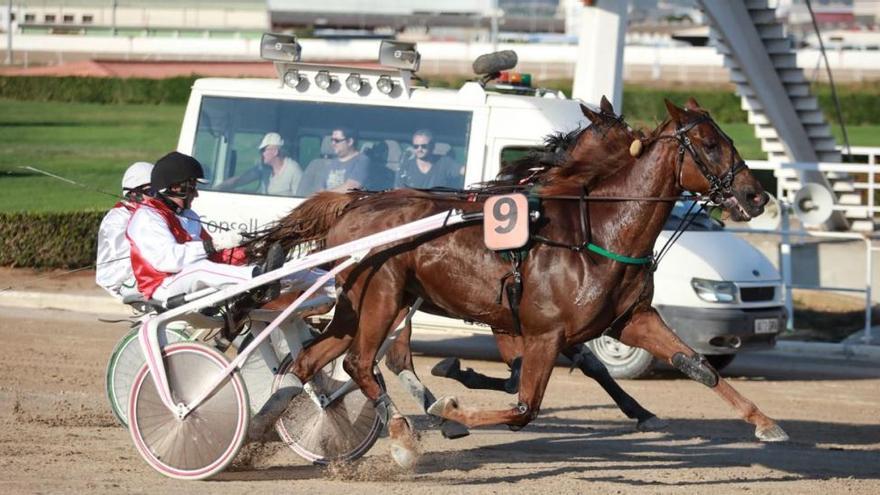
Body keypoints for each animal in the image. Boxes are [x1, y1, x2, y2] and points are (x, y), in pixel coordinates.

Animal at [260, 97, 784, 464]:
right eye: (711, 144)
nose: (756, 196)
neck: (597, 231)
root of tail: (355, 202)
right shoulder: (541, 333)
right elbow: (523, 407)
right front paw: (449, 409)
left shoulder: (630, 319)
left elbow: (699, 366)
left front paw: (764, 422)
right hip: (383, 296)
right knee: (360, 363)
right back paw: (403, 436)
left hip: (360, 304)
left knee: (310, 362)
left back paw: (274, 427)